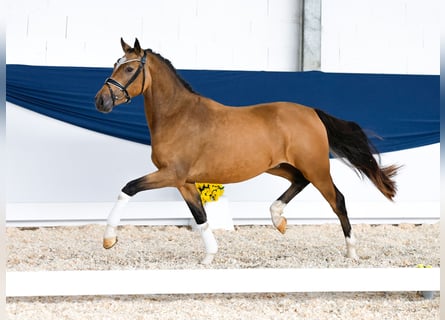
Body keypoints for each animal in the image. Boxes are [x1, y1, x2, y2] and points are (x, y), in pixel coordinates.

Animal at [94, 38, 398, 264]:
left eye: (129, 70)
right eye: (115, 65)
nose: (101, 101)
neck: (177, 116)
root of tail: (312, 112)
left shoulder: (171, 174)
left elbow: (128, 188)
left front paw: (109, 239)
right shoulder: (185, 182)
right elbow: (201, 217)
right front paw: (209, 256)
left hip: (316, 167)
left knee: (338, 200)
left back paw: (351, 252)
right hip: (280, 166)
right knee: (300, 182)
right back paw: (278, 220)